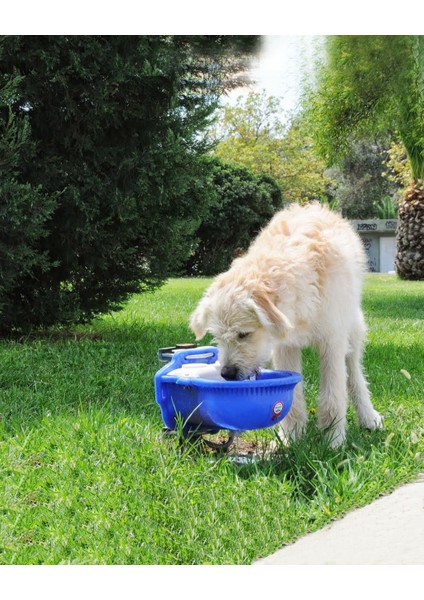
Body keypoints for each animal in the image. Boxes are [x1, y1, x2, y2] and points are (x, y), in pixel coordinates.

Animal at [190, 202, 382, 446]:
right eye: (219, 338)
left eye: (244, 334)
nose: (227, 374)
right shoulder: (285, 347)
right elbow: (293, 398)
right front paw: (291, 440)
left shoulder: (332, 342)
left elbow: (334, 394)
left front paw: (333, 442)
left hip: (354, 329)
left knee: (355, 373)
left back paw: (368, 416)